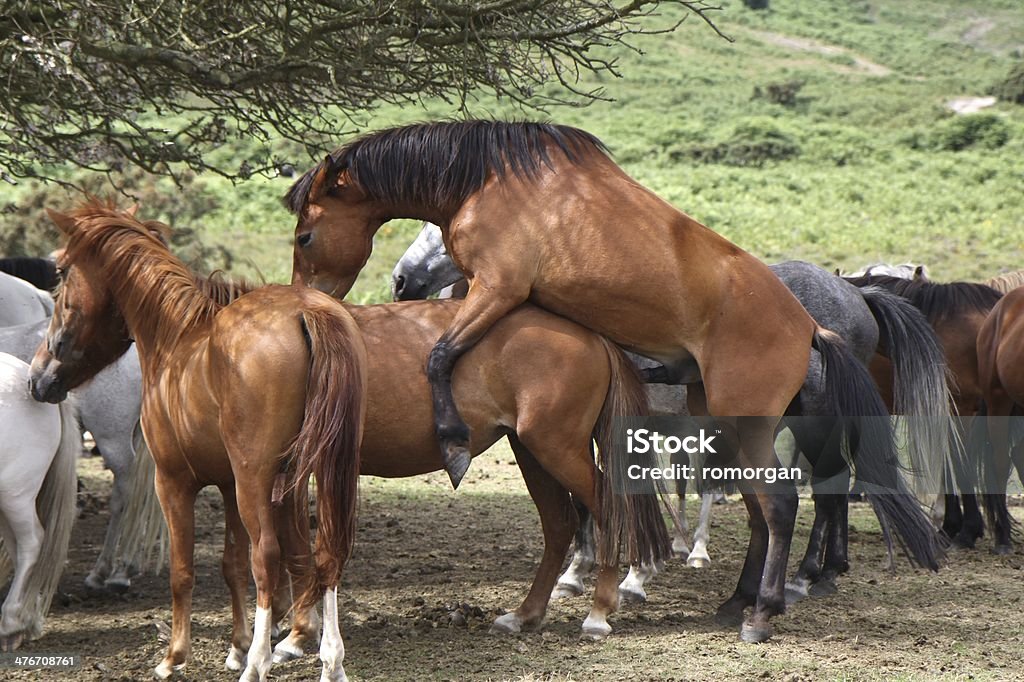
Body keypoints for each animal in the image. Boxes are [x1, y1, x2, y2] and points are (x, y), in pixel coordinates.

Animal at [28, 201, 368, 679]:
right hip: (318, 473)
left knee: (267, 558)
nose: (39, 377)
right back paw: (330, 660)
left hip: (255, 480)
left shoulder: (173, 482)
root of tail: (305, 311)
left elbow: (184, 570)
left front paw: (176, 657)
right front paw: (237, 646)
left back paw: (259, 663)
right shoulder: (227, 484)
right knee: (326, 553)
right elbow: (230, 565)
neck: (177, 340)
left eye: (60, 272)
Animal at [284, 118, 937, 638]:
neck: (493, 183)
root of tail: (809, 325)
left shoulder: (498, 290)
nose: (401, 283)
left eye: (305, 235)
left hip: (752, 423)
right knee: (768, 505)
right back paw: (742, 599)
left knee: (781, 503)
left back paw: (764, 611)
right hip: (731, 421)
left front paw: (453, 442)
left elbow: (440, 356)